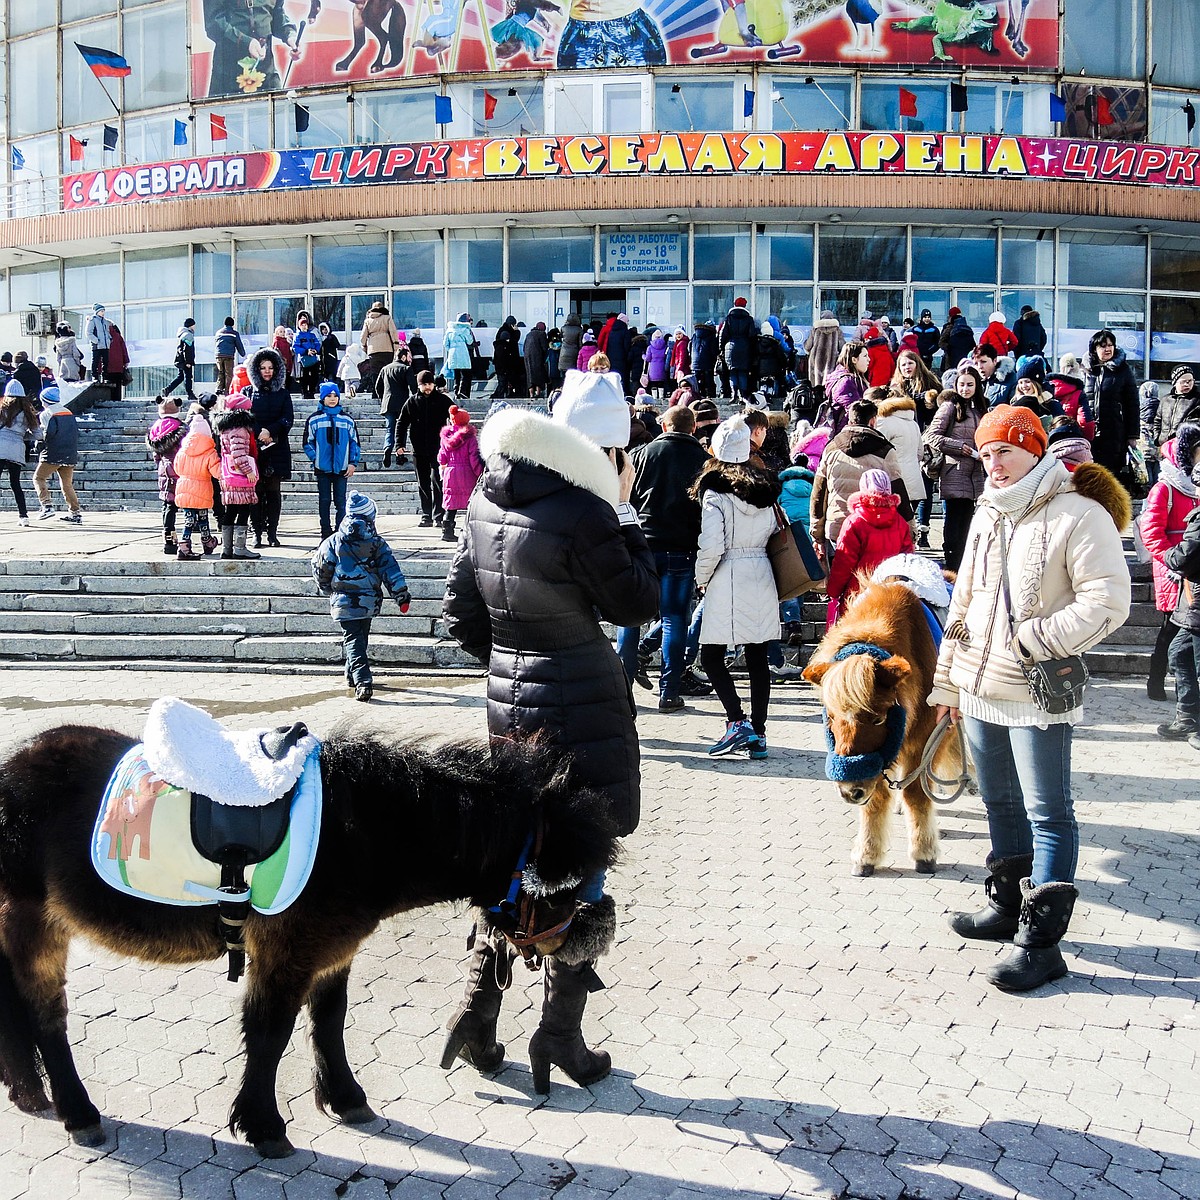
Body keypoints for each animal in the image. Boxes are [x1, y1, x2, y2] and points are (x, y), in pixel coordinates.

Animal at [0, 720, 619, 1152]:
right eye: (563, 885)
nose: (597, 934)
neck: (360, 833)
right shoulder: (286, 956)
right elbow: (270, 1035)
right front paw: (264, 1127)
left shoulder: (332, 953)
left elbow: (328, 1024)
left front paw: (344, 1100)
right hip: (33, 925)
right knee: (46, 1017)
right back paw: (78, 1114)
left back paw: (29, 1092)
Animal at [801, 578, 960, 873]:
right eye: (831, 716)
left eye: (878, 717)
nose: (850, 791)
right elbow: (875, 800)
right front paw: (866, 856)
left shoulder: (925, 738)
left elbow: (916, 793)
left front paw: (924, 853)